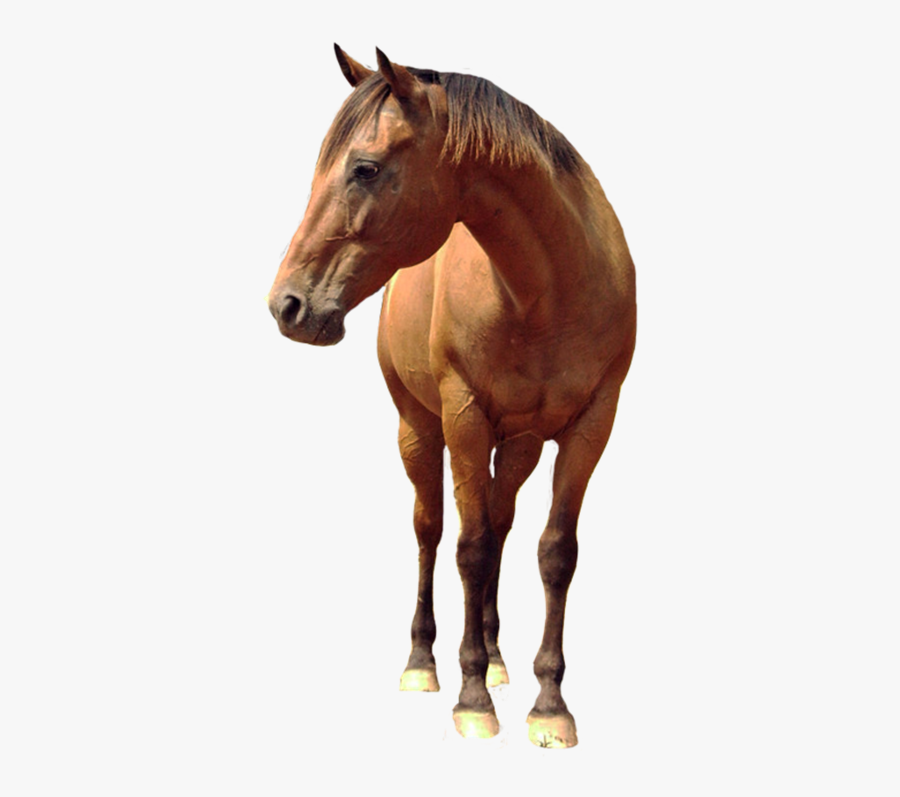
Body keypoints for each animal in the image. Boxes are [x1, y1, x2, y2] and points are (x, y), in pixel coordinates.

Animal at [267, 46, 636, 748]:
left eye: (364, 168)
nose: (287, 305)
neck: (549, 291)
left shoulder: (591, 426)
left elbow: (554, 552)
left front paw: (550, 706)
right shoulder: (464, 417)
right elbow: (468, 548)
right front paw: (471, 699)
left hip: (519, 445)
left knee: (500, 522)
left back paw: (495, 658)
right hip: (419, 428)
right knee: (432, 530)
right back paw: (426, 662)